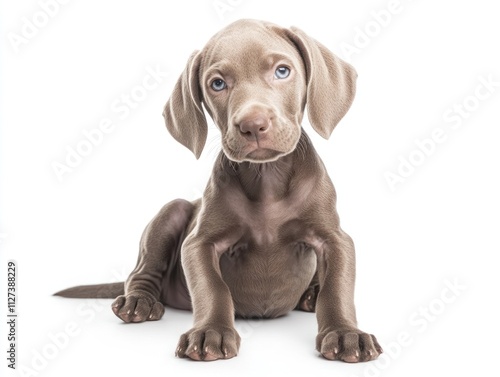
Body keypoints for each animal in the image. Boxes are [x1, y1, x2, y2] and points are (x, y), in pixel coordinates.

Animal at [54, 19, 380, 362]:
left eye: (282, 71)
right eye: (218, 84)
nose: (253, 124)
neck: (267, 178)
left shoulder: (335, 239)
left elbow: (337, 288)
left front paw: (345, 333)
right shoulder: (199, 243)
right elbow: (213, 287)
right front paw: (210, 332)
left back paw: (311, 294)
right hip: (172, 211)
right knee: (141, 272)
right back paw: (138, 302)